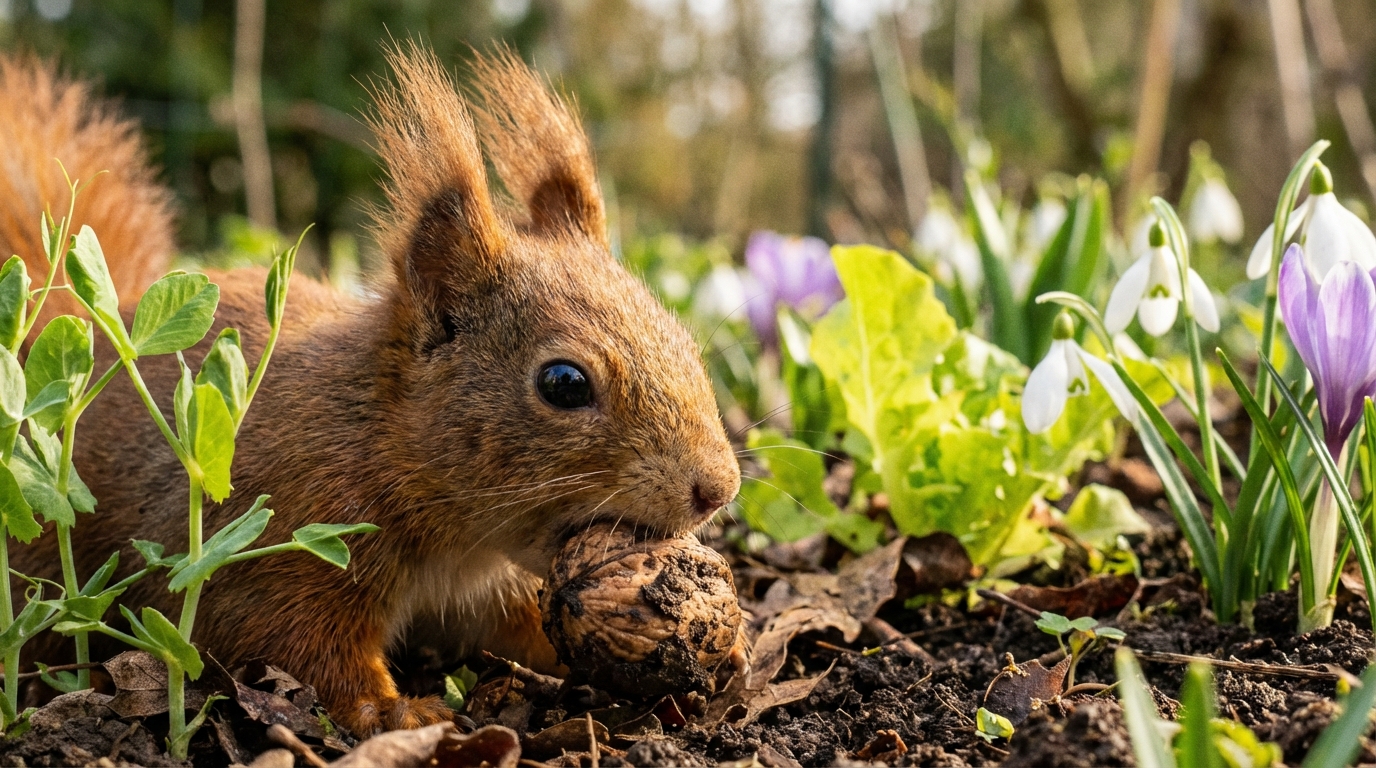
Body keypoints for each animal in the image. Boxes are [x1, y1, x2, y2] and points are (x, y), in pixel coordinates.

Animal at [0, 45, 742, 734]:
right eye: (564, 383)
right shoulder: (281, 545)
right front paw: (396, 711)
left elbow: (524, 625)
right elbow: (298, 645)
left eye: (684, 338)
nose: (718, 489)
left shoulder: (484, 589)